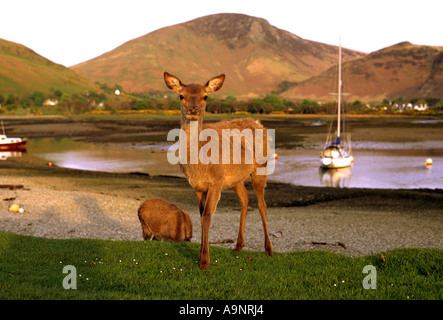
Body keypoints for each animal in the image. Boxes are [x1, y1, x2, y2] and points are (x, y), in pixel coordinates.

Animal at [164, 72, 272, 270]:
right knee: (245, 199)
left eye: (205, 96)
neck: (198, 165)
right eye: (181, 95)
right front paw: (201, 256)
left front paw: (204, 261)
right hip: (236, 178)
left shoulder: (216, 181)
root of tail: (259, 123)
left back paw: (268, 249)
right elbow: (201, 215)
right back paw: (238, 246)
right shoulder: (197, 186)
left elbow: (207, 216)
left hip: (261, 168)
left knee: (262, 204)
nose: (193, 109)